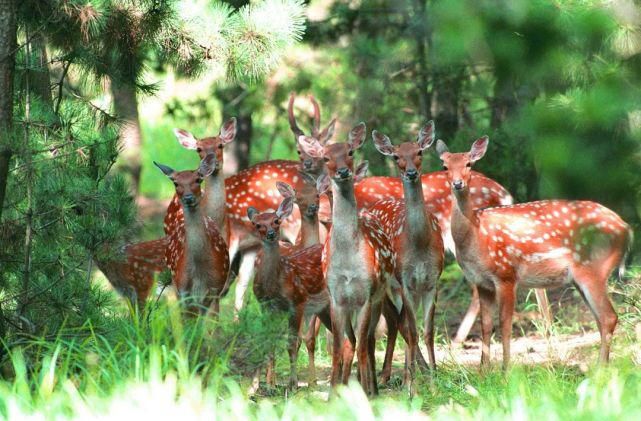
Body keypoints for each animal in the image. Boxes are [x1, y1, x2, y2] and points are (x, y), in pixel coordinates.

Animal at [154, 155, 230, 316]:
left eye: (198, 179)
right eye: (175, 182)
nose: (188, 198)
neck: (199, 272)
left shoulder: (215, 288)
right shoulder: (183, 289)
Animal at [248, 192, 332, 388]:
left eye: (276, 220)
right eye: (257, 224)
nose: (271, 234)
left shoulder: (298, 302)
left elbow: (293, 343)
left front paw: (293, 383)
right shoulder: (266, 306)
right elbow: (269, 340)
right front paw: (270, 385)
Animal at [298, 121, 418, 394]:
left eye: (350, 152)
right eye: (326, 157)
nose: (343, 171)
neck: (348, 262)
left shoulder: (365, 294)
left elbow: (361, 345)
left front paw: (364, 392)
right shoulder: (336, 296)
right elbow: (337, 348)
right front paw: (333, 392)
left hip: (379, 295)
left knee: (371, 338)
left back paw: (372, 386)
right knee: (359, 339)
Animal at [368, 121, 442, 380]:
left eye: (419, 152)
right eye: (396, 156)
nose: (411, 172)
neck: (419, 244)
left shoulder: (432, 281)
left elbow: (428, 331)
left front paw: (434, 373)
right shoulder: (407, 282)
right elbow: (412, 330)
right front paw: (412, 377)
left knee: (396, 321)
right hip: (386, 282)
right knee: (396, 321)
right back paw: (387, 373)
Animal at [438, 136, 632, 366]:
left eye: (469, 164)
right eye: (445, 166)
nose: (457, 183)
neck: (476, 235)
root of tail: (626, 228)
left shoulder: (505, 274)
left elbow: (504, 324)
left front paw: (505, 369)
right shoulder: (481, 282)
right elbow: (486, 326)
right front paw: (483, 370)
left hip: (593, 268)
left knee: (608, 316)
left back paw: (600, 368)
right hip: (582, 276)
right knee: (601, 319)